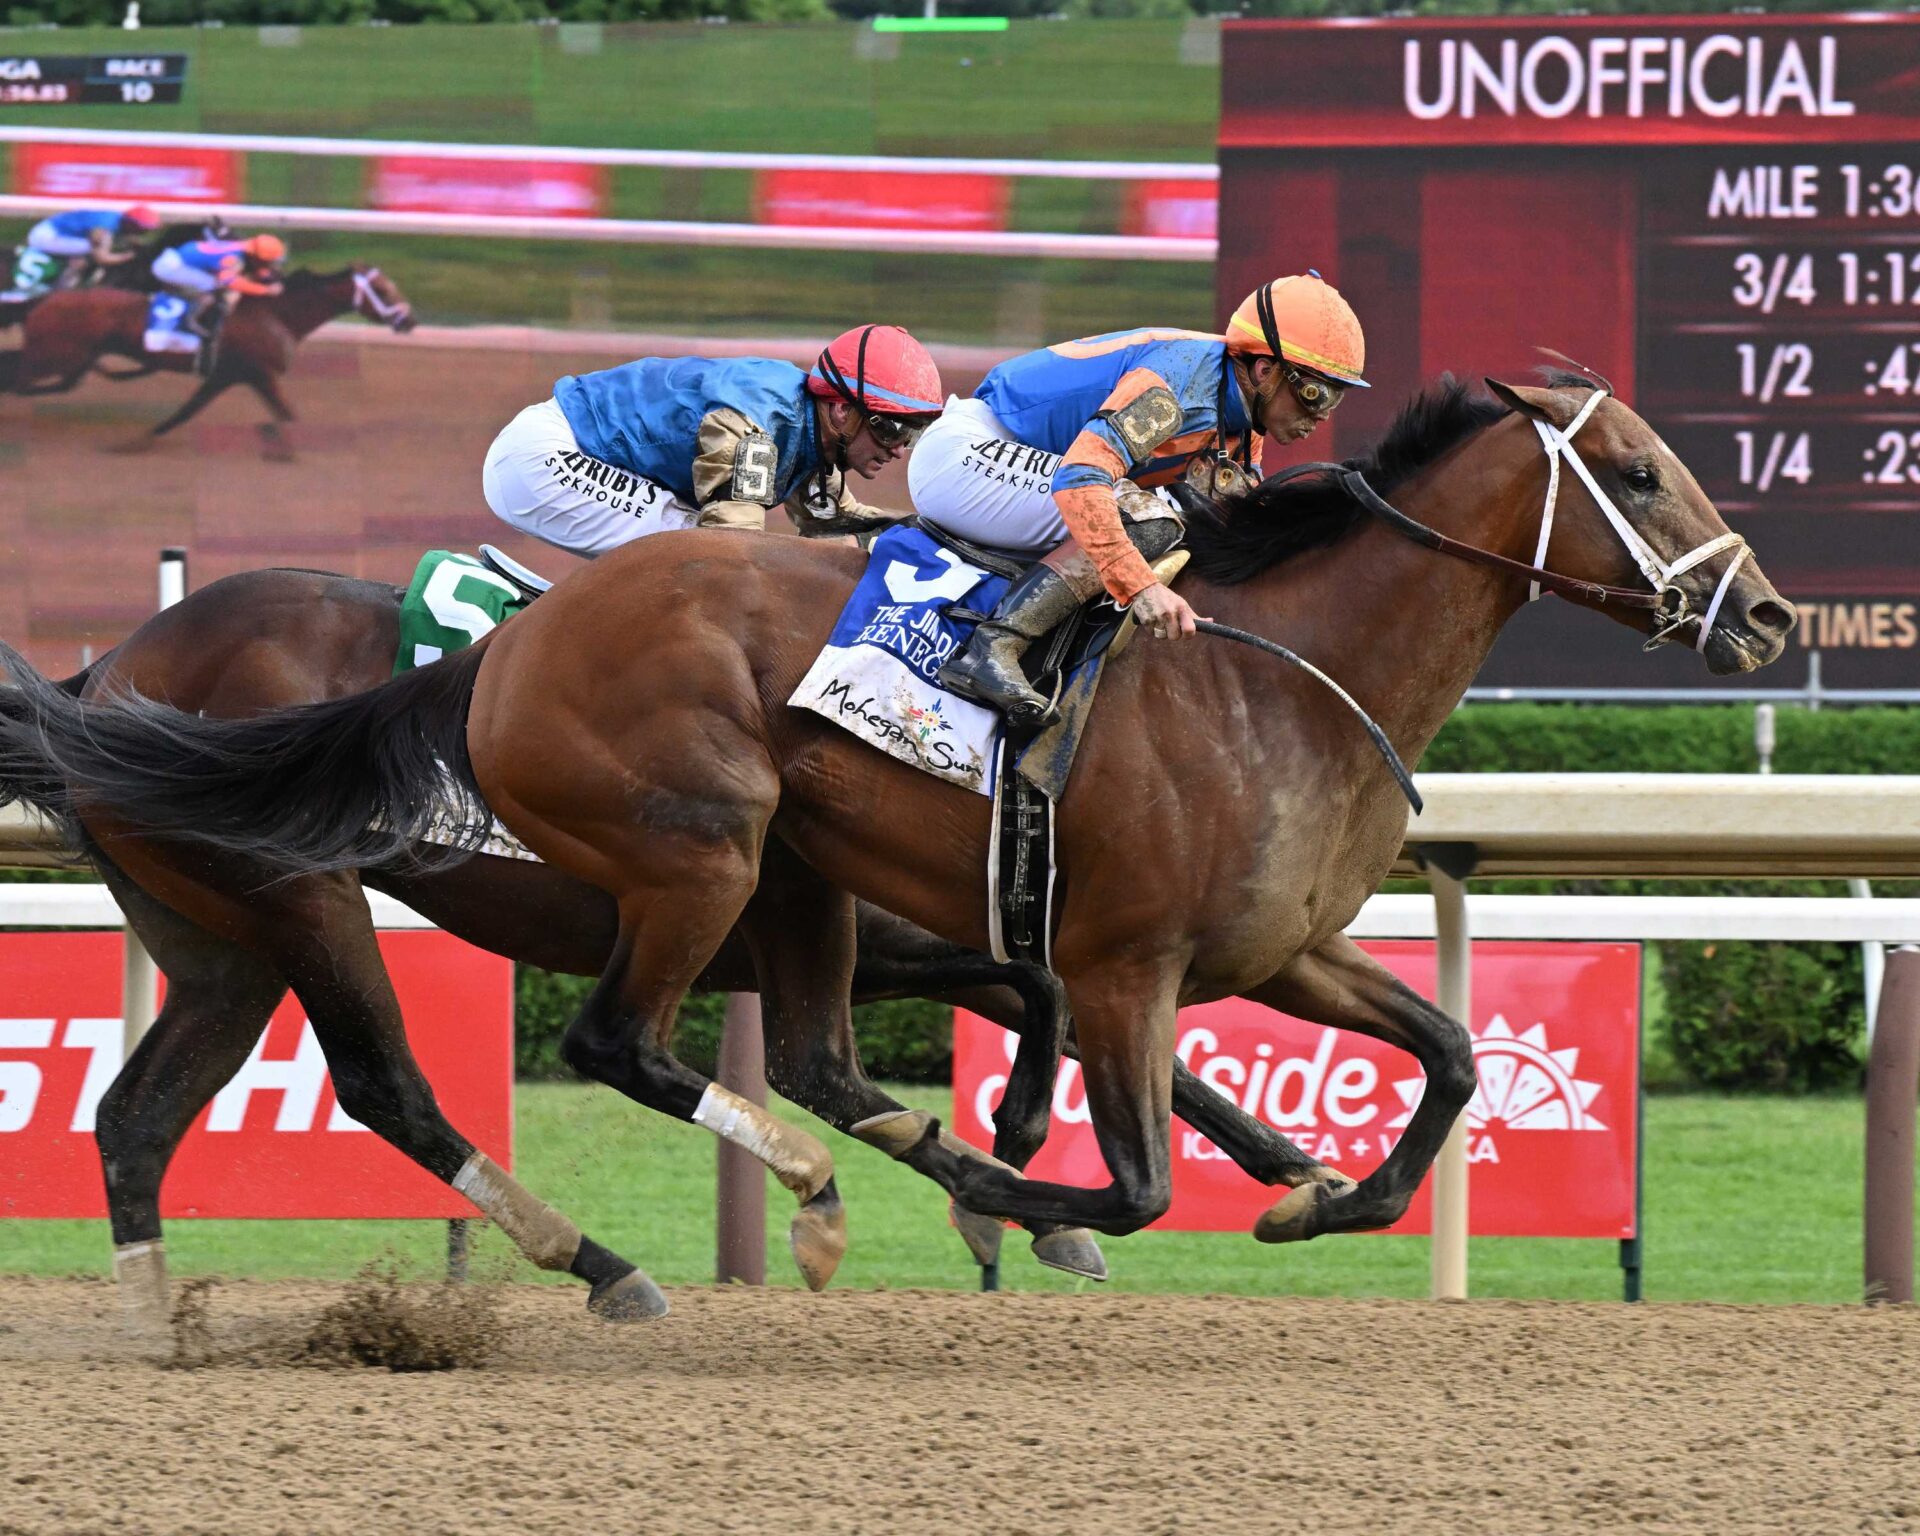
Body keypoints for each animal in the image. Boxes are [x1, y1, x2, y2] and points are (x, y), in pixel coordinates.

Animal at [0, 265, 415, 458]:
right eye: (382, 290)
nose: (409, 321)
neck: (276, 314)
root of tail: (44, 299)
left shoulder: (226, 376)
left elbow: (184, 413)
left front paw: (138, 440)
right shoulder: (259, 373)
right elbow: (286, 415)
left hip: (68, 357)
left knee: (44, 379)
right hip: (53, 355)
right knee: (18, 377)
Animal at [0, 563, 1323, 1325]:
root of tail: (106, 673)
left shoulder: (905, 937)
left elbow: (1097, 1025)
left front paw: (1283, 1169)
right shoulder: (870, 935)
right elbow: (1057, 1006)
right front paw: (1020, 1194)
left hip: (217, 937)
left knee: (138, 1112)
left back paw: (154, 1314)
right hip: (305, 898)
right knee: (385, 1085)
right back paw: (600, 1261)